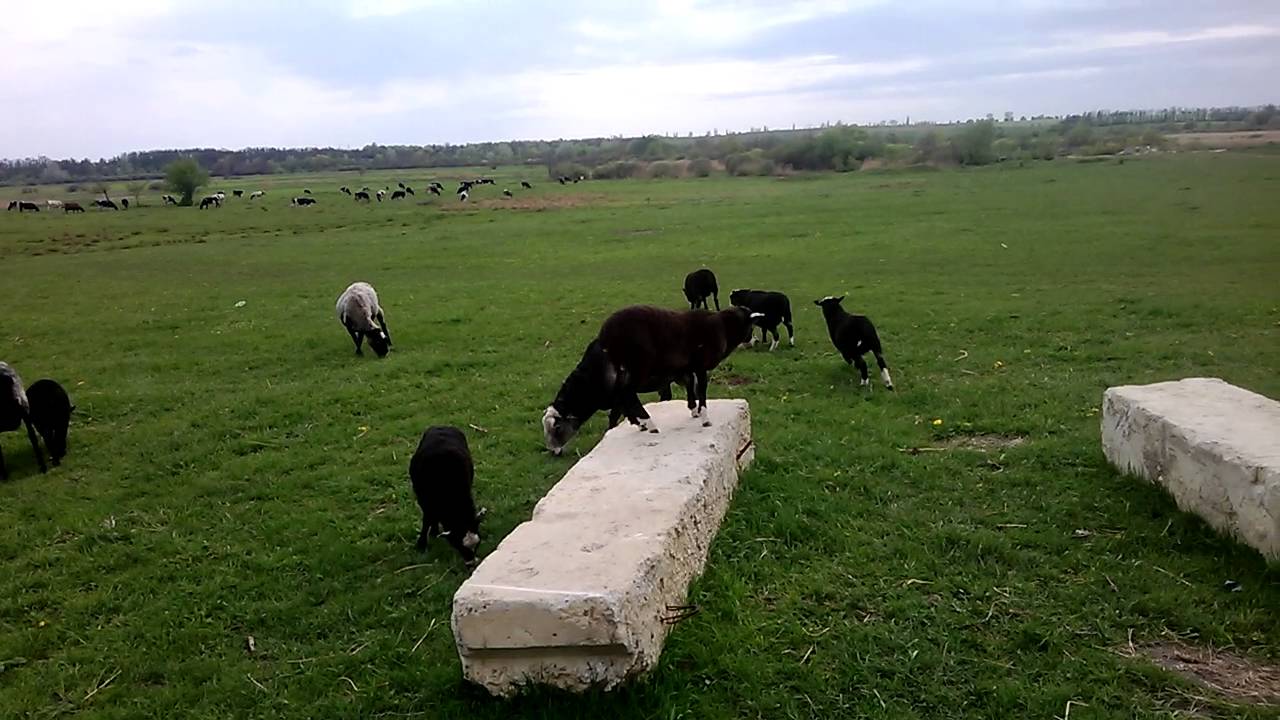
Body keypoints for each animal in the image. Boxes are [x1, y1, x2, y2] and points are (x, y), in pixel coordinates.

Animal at [409, 426, 487, 566]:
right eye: (459, 546)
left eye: (477, 545)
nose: (471, 564)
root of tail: (441, 425)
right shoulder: (424, 500)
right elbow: (427, 520)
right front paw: (422, 543)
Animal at [542, 338, 687, 456]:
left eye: (557, 428)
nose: (553, 452)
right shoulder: (619, 400)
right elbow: (627, 414)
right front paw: (640, 426)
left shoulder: (623, 395)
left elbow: (622, 416)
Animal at [598, 305, 756, 431]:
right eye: (752, 326)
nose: (751, 339)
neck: (724, 327)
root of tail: (605, 334)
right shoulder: (700, 365)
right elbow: (701, 389)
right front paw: (705, 419)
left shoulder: (686, 367)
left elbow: (690, 383)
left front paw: (694, 410)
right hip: (639, 365)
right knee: (628, 392)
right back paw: (649, 424)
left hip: (623, 368)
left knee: (621, 393)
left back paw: (639, 424)